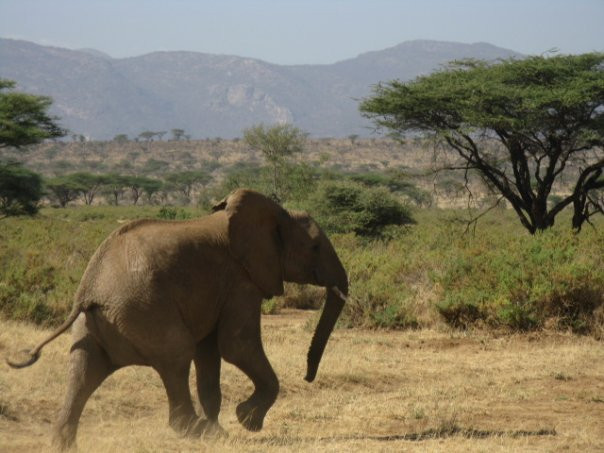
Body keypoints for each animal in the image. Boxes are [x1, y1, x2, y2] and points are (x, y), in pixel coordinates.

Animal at [7, 188, 350, 448]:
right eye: (315, 247)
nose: (307, 377)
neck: (274, 214)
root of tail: (89, 290)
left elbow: (210, 353)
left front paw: (223, 430)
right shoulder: (241, 280)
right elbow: (236, 346)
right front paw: (245, 421)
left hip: (94, 324)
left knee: (84, 370)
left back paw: (64, 444)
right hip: (143, 309)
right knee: (176, 352)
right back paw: (193, 431)